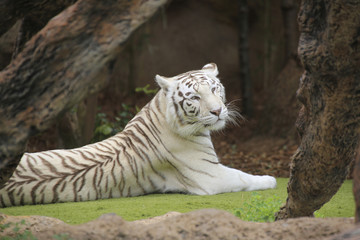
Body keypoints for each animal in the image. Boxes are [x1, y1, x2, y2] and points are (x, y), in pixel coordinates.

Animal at [0, 63, 278, 206]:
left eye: (214, 89)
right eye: (195, 97)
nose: (218, 111)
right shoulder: (211, 176)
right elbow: (243, 177)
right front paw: (270, 179)